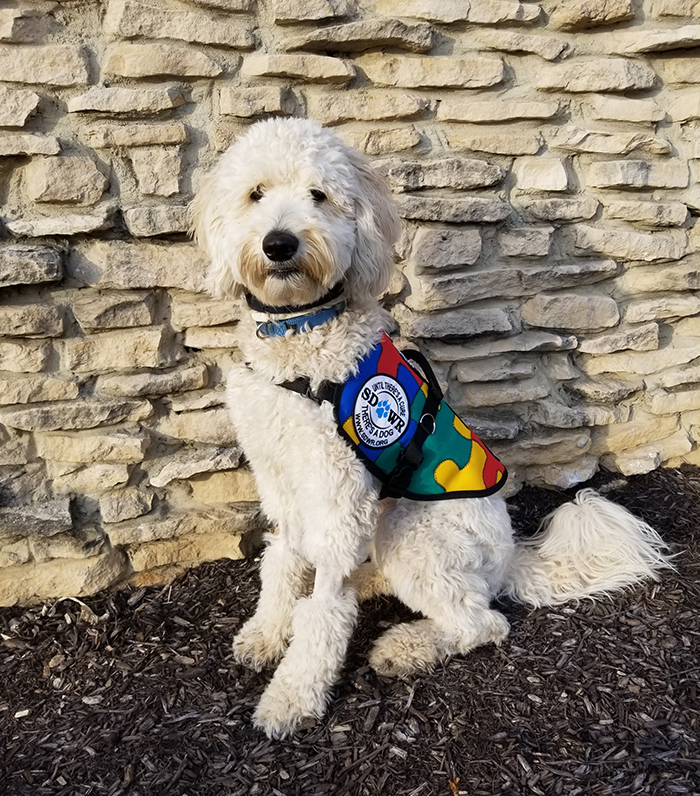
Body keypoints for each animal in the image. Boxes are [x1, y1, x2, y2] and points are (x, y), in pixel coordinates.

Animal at [193, 118, 672, 740]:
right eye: (255, 193)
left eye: (318, 195)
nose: (279, 244)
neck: (301, 339)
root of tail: (510, 556)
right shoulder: (280, 475)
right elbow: (284, 559)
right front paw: (269, 630)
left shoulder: (337, 492)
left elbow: (323, 606)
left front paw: (292, 696)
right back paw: (367, 584)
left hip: (412, 531)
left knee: (481, 623)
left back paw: (406, 646)